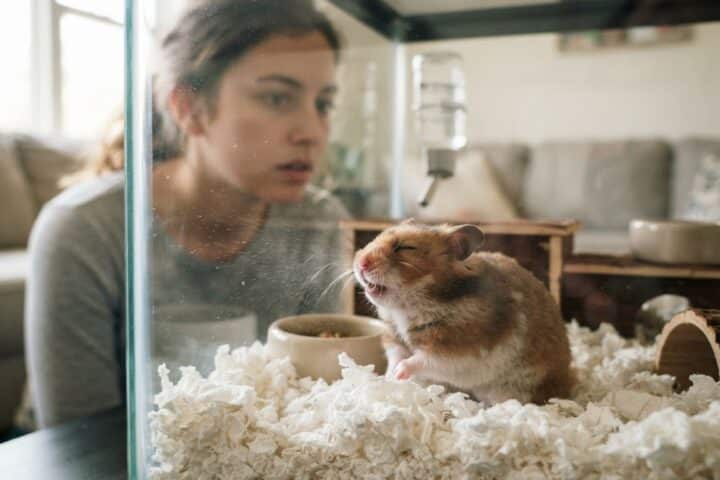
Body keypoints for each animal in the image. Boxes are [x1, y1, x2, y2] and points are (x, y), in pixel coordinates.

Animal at [352, 220, 575, 405]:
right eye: (376, 237)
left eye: (406, 248)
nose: (360, 262)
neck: (406, 308)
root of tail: (566, 387)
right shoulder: (394, 338)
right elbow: (395, 356)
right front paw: (387, 378)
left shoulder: (458, 352)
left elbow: (421, 360)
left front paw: (399, 374)